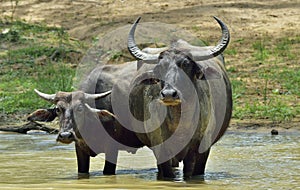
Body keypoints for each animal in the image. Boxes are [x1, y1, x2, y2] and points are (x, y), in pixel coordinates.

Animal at [126, 17, 232, 179]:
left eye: (186, 65)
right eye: (159, 68)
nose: (169, 94)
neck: (180, 124)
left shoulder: (201, 150)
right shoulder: (160, 148)